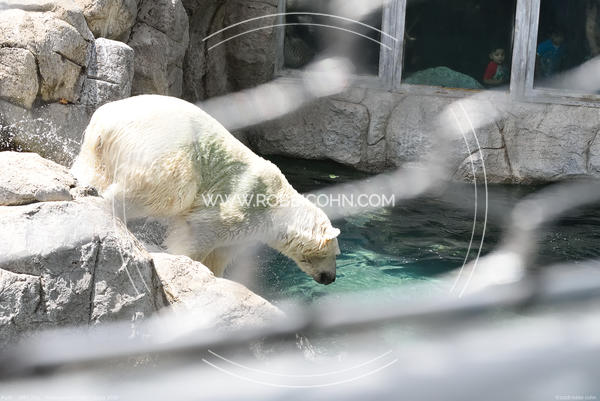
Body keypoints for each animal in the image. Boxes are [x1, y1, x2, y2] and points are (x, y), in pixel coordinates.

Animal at [71, 94, 340, 285]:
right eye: (335, 253)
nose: (331, 278)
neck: (278, 206)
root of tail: (106, 119)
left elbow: (220, 253)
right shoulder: (240, 204)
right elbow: (197, 234)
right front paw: (188, 265)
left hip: (98, 147)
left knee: (91, 170)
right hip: (162, 148)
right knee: (169, 190)